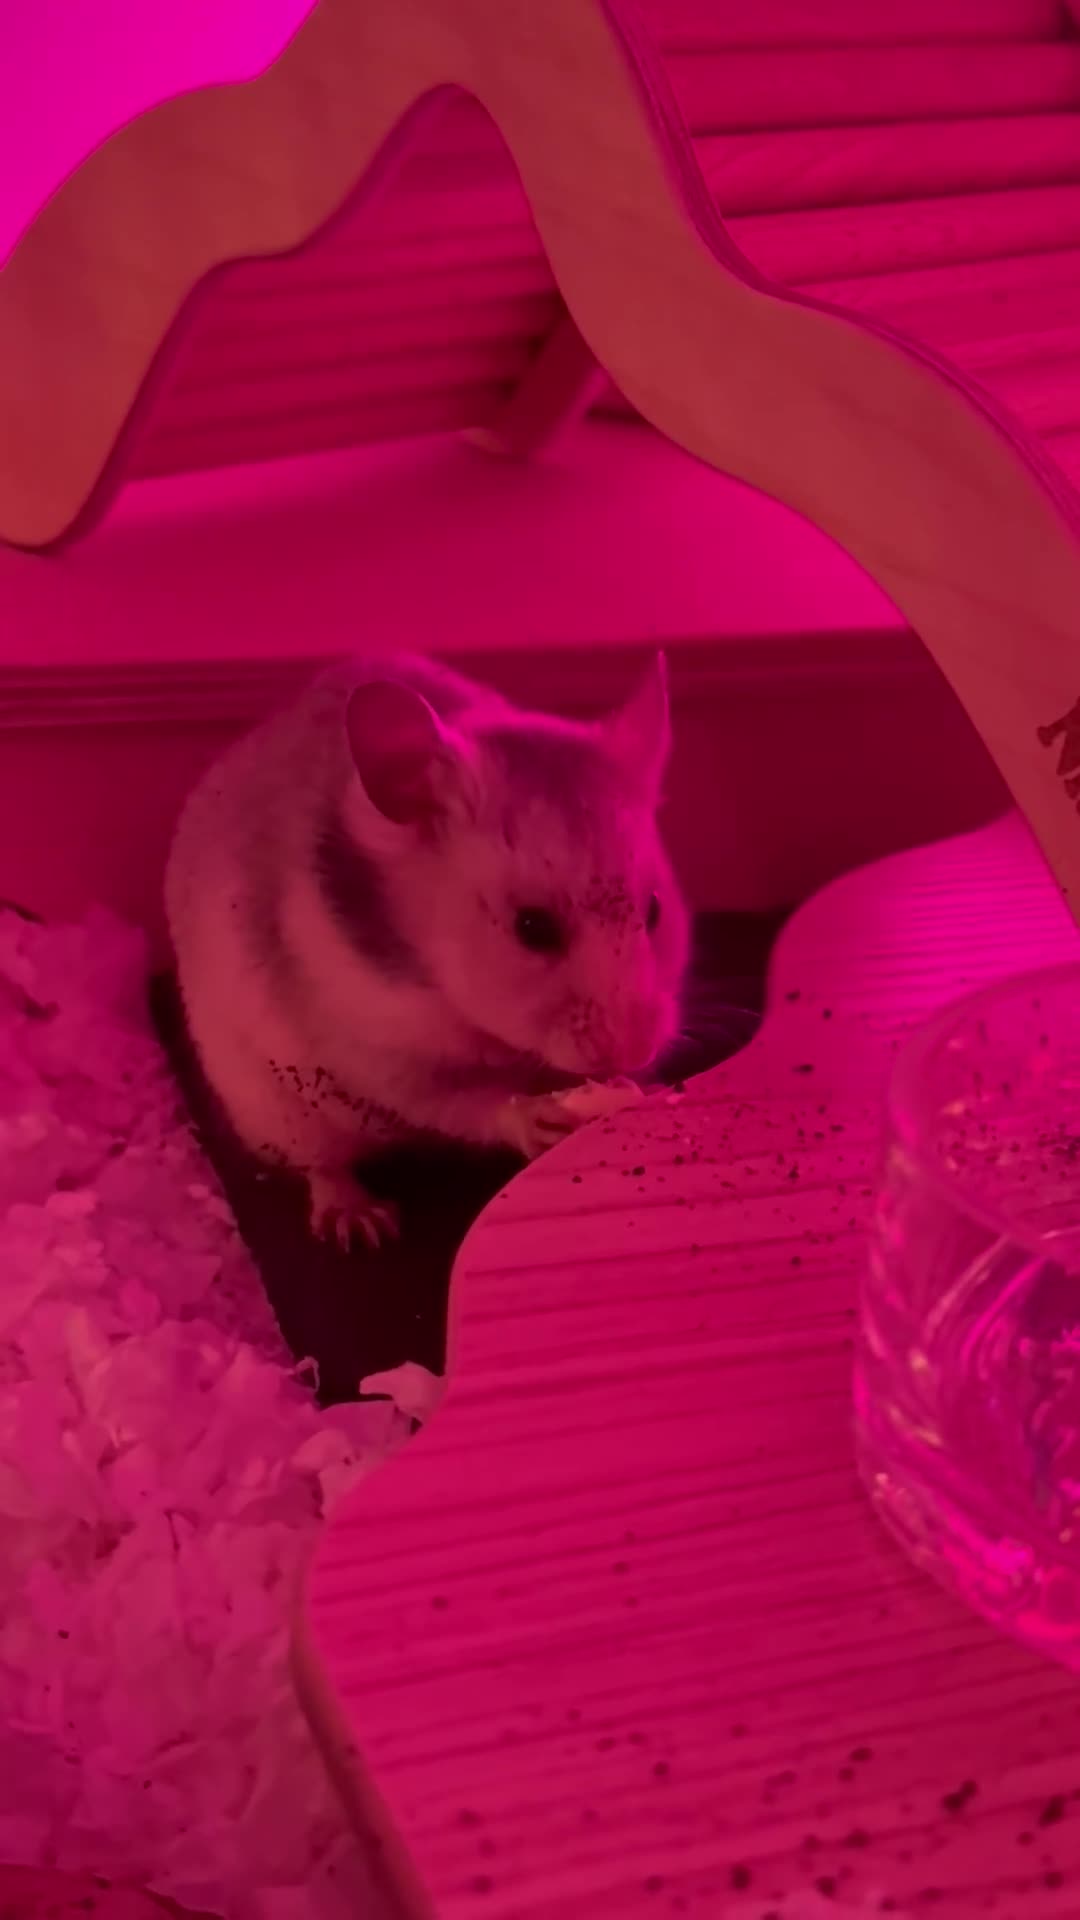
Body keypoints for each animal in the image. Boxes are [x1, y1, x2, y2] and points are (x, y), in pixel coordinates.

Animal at [164, 649, 688, 1248]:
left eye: (654, 909)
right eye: (532, 927)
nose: (634, 1052)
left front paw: (641, 1090)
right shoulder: (381, 1057)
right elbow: (468, 1103)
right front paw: (543, 1119)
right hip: (275, 1110)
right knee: (323, 1165)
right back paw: (361, 1225)